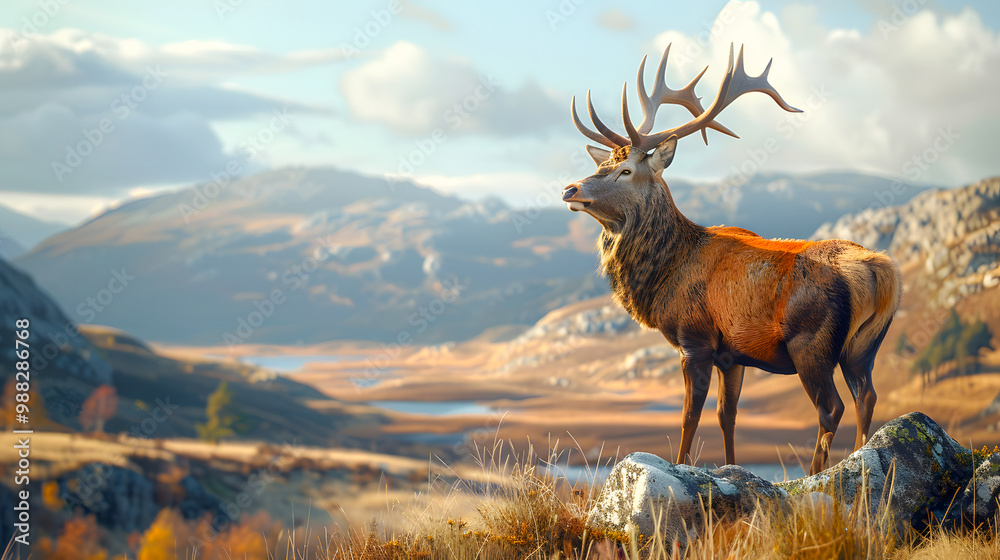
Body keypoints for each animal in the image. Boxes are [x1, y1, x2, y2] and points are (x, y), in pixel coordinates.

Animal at [562, 44, 902, 475]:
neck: (665, 273)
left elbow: (690, 416)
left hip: (812, 342)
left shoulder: (694, 339)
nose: (570, 189)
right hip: (864, 346)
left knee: (831, 407)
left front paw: (681, 464)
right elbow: (727, 415)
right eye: (599, 165)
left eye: (624, 170)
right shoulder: (733, 355)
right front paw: (731, 467)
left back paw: (816, 475)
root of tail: (879, 271)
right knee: (867, 397)